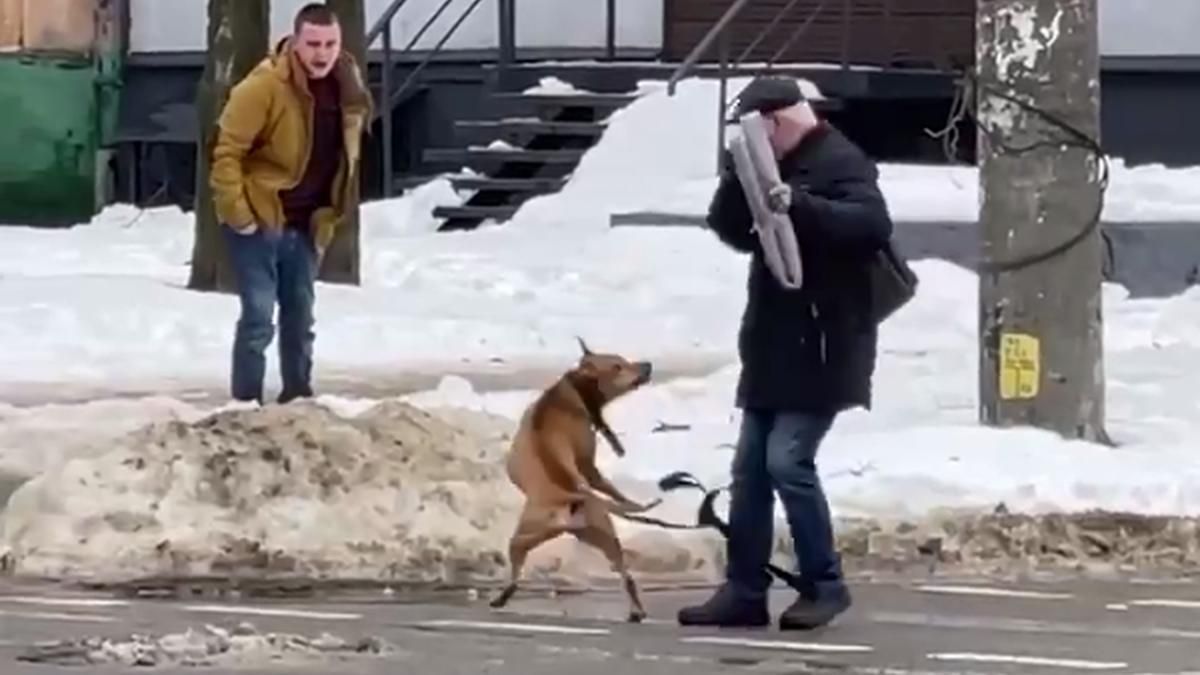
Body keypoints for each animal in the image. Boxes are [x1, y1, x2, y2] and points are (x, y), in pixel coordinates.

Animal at [494, 336, 667, 619]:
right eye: (617, 365)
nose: (647, 365)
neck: (574, 389)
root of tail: (571, 496)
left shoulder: (588, 467)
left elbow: (608, 486)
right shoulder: (588, 467)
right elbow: (609, 487)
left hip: (528, 534)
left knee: (516, 572)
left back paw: (503, 595)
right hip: (599, 534)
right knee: (625, 574)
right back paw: (636, 610)